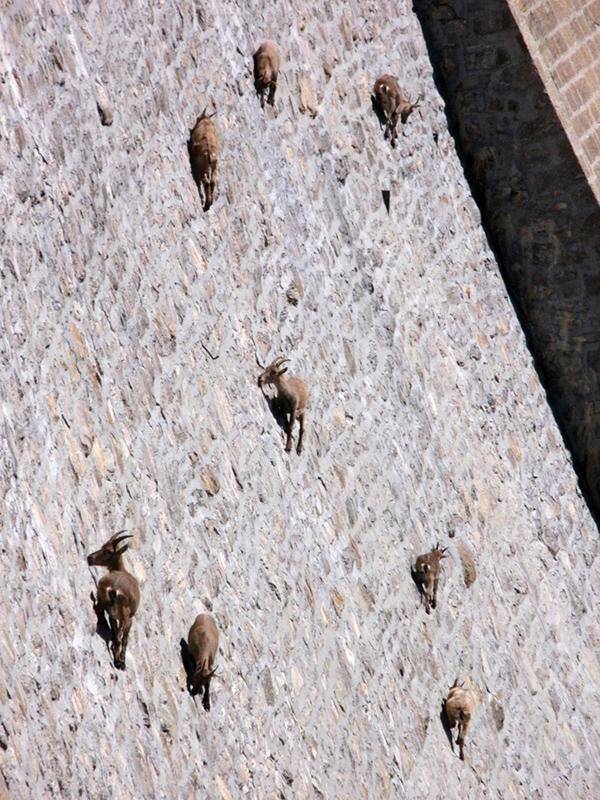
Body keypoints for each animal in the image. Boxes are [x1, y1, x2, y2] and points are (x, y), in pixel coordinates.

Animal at [87, 530, 140, 670]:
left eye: (108, 551)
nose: (90, 558)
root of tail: (114, 588)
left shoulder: (113, 615)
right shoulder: (129, 619)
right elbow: (124, 639)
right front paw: (122, 661)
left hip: (106, 602)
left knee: (99, 610)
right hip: (124, 616)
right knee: (119, 637)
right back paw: (119, 662)